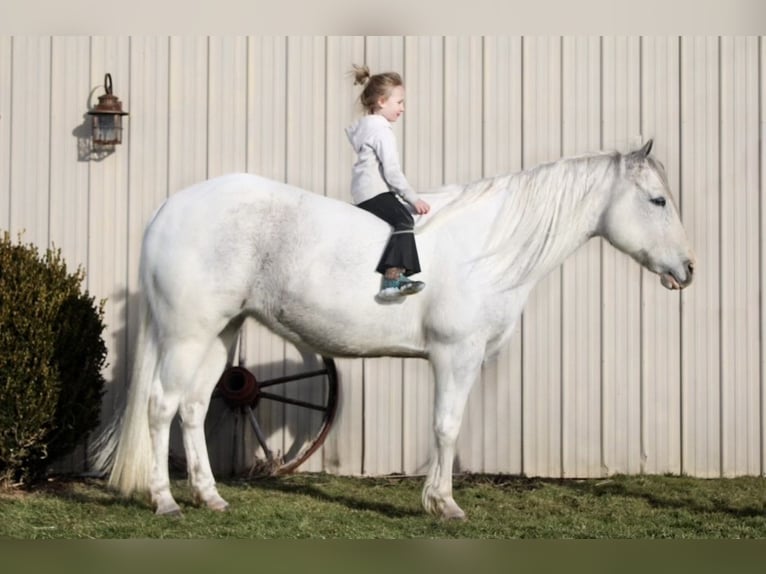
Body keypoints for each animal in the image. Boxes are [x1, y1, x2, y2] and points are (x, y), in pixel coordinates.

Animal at [94, 141, 696, 520]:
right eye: (658, 200)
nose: (687, 269)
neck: (488, 246)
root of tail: (171, 208)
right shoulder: (456, 356)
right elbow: (447, 428)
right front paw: (444, 504)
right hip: (185, 335)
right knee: (161, 407)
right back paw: (166, 501)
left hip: (220, 334)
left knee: (194, 409)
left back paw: (210, 497)